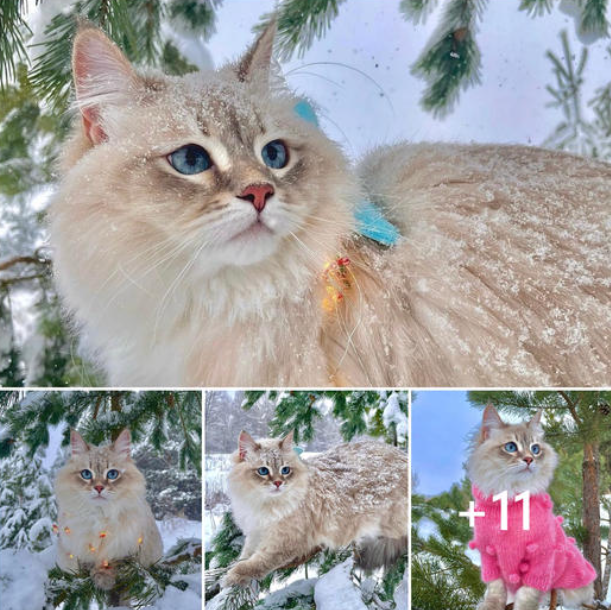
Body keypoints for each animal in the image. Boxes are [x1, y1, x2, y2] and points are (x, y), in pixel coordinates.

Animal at [222, 430, 408, 588]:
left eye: (285, 470)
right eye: (263, 471)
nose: (278, 483)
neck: (263, 504)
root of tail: (401, 454)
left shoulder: (282, 542)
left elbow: (256, 563)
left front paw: (233, 575)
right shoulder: (255, 532)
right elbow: (245, 555)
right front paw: (231, 566)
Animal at [468, 404, 592, 608]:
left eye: (535, 449)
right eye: (510, 447)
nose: (529, 459)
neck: (510, 498)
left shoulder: (540, 559)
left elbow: (527, 596)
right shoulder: (489, 555)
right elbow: (495, 590)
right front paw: (490, 606)